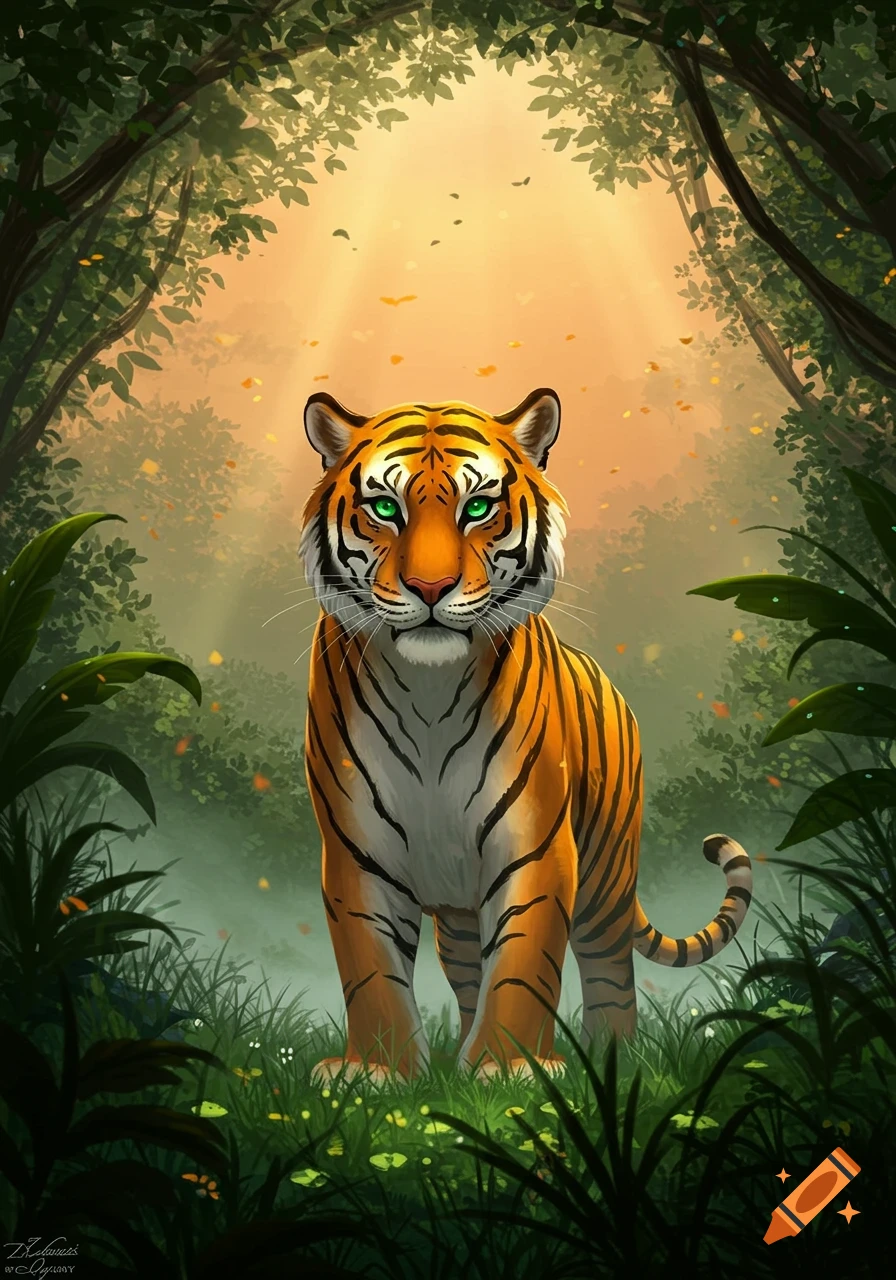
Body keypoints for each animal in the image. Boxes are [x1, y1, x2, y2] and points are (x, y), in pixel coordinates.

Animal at [298, 386, 752, 1084]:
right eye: (385, 508)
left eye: (478, 507)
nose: (430, 588)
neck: (429, 691)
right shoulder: (356, 850)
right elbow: (370, 968)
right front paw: (380, 1071)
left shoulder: (536, 844)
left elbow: (522, 965)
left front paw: (510, 1069)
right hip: (460, 913)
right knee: (467, 974)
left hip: (605, 882)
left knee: (610, 975)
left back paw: (609, 1059)